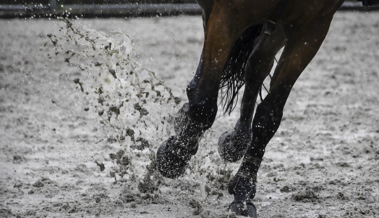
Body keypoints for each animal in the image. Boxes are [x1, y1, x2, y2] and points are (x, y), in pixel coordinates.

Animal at [155, 0, 378, 217]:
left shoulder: (312, 27)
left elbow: (269, 115)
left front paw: (243, 192)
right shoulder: (229, 13)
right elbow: (204, 102)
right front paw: (173, 157)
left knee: (256, 64)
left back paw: (234, 141)